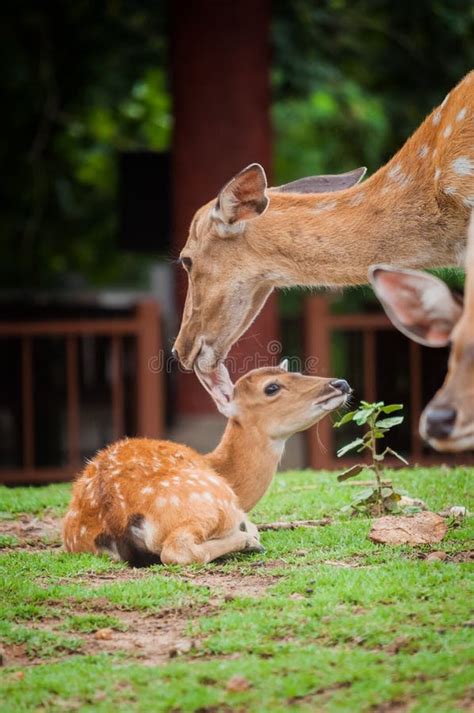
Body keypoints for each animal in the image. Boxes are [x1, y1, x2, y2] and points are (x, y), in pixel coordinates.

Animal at [63, 364, 350, 564]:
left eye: (297, 372)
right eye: (272, 387)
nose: (341, 383)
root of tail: (115, 517)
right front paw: (251, 533)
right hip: (207, 503)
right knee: (176, 550)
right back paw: (249, 539)